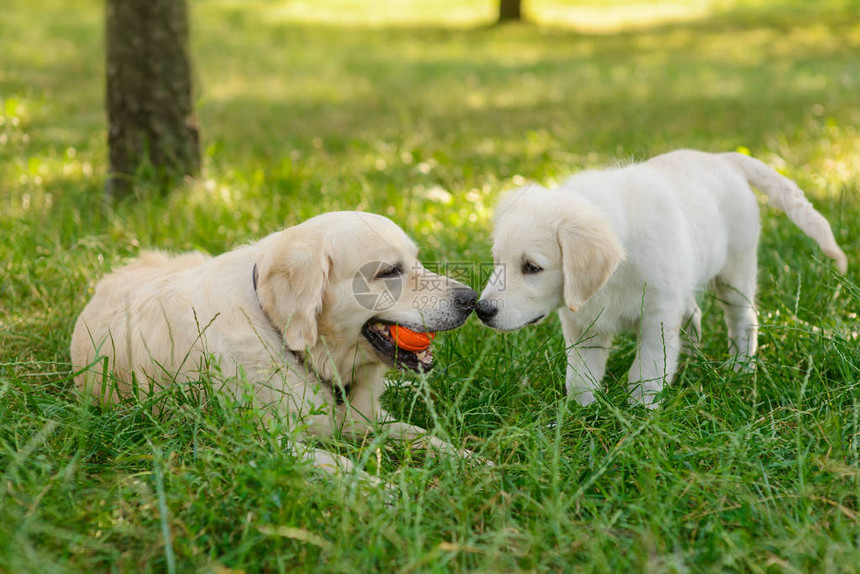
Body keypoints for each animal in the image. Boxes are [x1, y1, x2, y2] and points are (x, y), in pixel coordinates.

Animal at [70, 214, 480, 474]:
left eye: (416, 260)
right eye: (389, 271)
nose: (471, 299)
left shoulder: (367, 417)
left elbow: (426, 437)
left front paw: (474, 461)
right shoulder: (259, 441)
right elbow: (340, 463)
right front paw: (382, 492)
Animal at [478, 151, 848, 408]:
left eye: (532, 267)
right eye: (498, 261)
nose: (481, 310)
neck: (617, 272)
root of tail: (723, 157)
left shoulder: (656, 315)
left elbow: (647, 368)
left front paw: (641, 411)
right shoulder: (583, 323)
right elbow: (581, 374)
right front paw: (580, 412)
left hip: (735, 270)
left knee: (743, 319)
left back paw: (741, 368)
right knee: (693, 313)